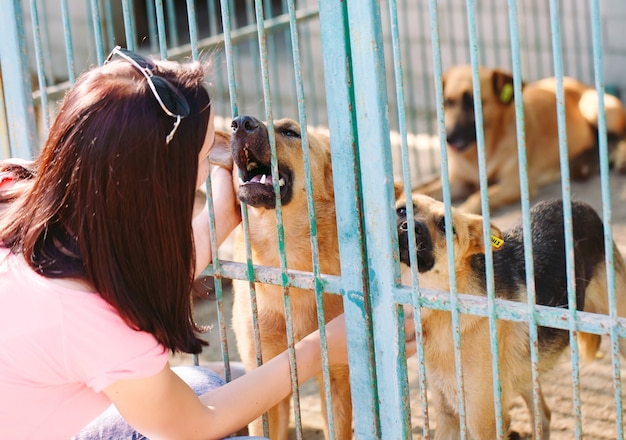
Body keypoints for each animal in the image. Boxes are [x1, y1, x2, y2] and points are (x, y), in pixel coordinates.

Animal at [394, 193, 624, 440]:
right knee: (543, 415)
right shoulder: (448, 415)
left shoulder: (484, 423)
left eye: (446, 226)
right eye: (401, 210)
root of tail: (574, 203)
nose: (410, 226)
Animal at [414, 65, 624, 215]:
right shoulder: (456, 181)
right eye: (447, 102)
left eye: (473, 104)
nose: (448, 137)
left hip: (595, 109)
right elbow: (425, 190)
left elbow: (478, 196)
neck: (483, 149)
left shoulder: (514, 184)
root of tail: (577, 82)